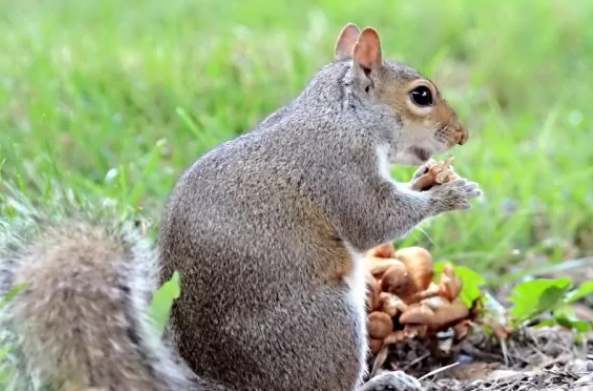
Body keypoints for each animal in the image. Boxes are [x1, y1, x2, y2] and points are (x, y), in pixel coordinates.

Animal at [0, 23, 480, 390]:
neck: (343, 114)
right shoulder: (340, 167)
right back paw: (382, 381)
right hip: (330, 324)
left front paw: (427, 178)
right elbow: (373, 221)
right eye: (421, 95)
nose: (462, 136)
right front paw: (450, 195)